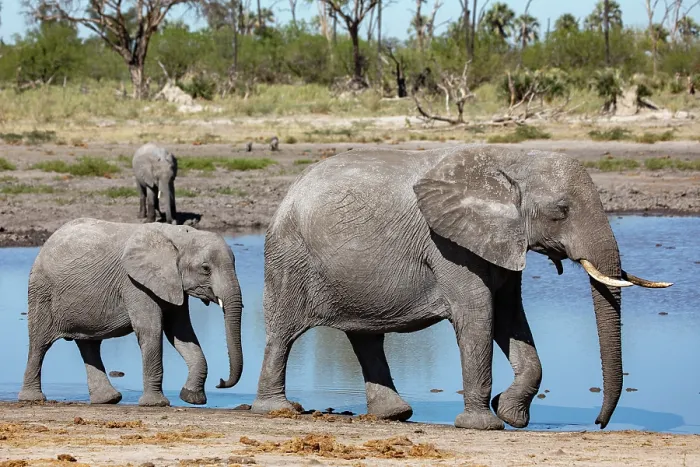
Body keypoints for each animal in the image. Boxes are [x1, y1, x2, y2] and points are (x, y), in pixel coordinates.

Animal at [18, 218, 243, 407]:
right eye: (206, 268)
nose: (220, 382)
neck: (177, 235)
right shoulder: (134, 284)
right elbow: (151, 331)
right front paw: (156, 404)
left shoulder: (172, 284)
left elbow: (181, 333)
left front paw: (191, 397)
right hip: (42, 291)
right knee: (39, 344)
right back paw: (32, 398)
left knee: (89, 345)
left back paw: (108, 399)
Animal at [250, 145, 671, 430]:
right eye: (561, 211)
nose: (599, 423)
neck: (509, 162)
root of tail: (288, 192)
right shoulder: (448, 245)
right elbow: (478, 315)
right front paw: (485, 424)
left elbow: (510, 317)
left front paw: (511, 413)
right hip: (290, 255)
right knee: (284, 332)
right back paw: (278, 410)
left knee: (365, 336)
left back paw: (395, 415)